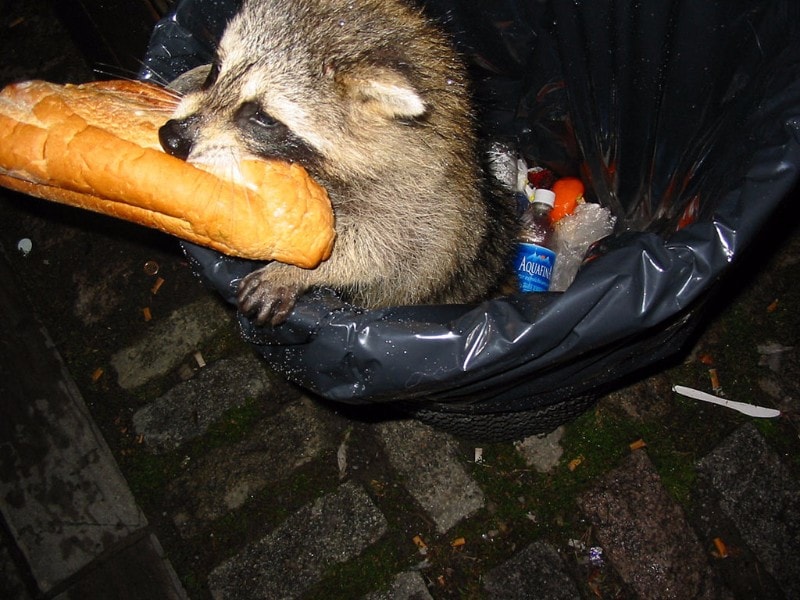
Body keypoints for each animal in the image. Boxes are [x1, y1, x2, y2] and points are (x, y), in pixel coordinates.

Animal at [158, 0, 519, 326]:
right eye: (217, 69)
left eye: (263, 117)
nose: (172, 138)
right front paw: (189, 78)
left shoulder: (423, 193)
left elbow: (389, 249)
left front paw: (295, 272)